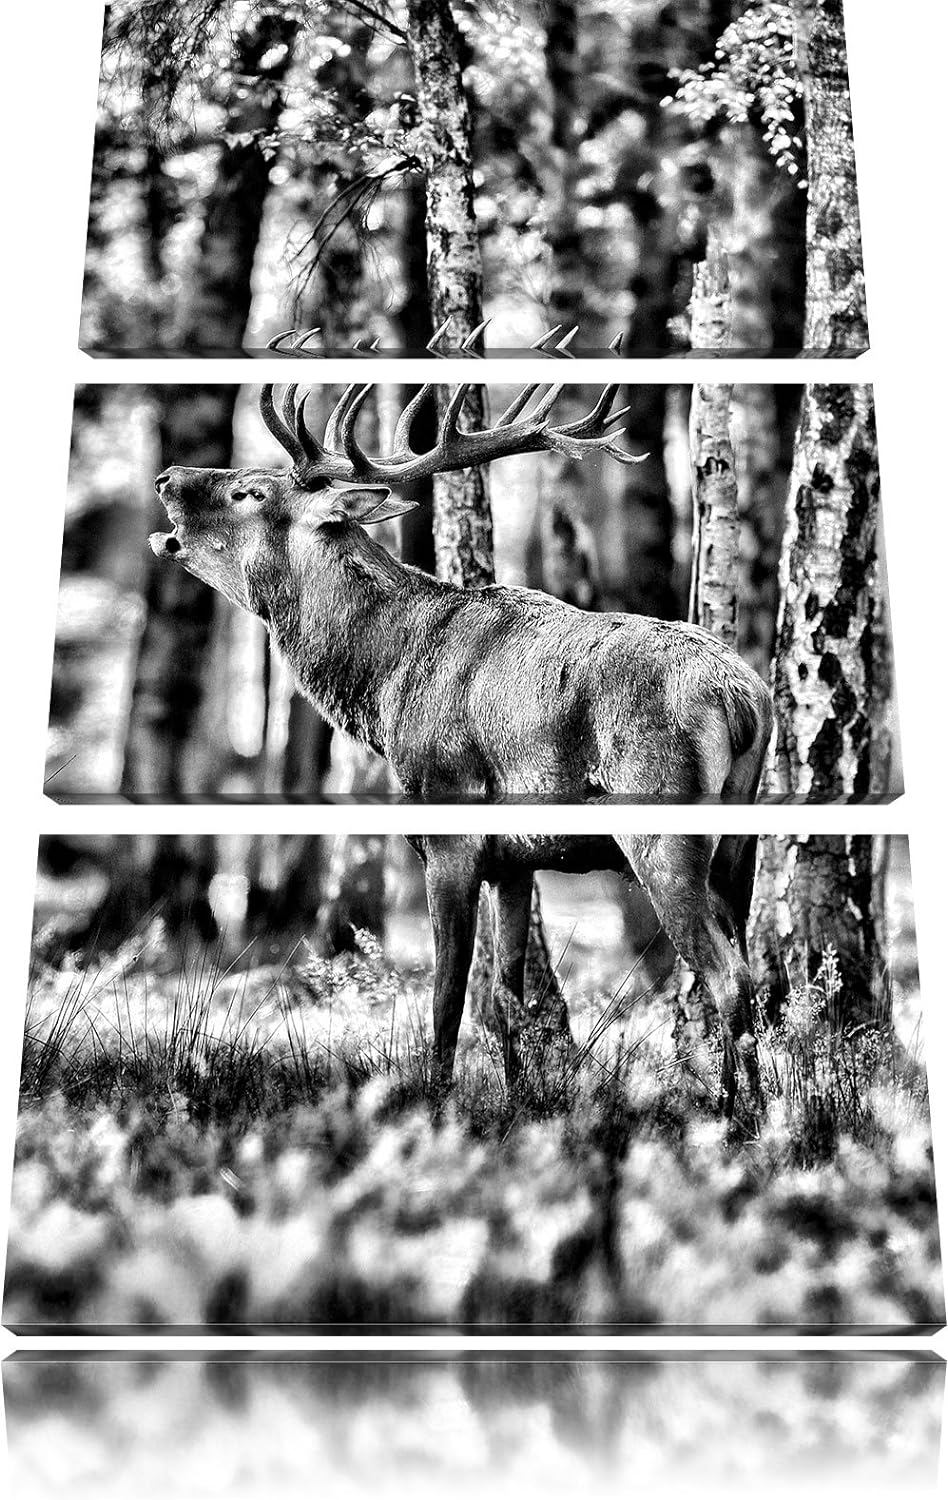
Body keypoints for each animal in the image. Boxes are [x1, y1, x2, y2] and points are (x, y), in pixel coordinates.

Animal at [151, 380, 774, 1114]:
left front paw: (436, 1103)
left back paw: (746, 1117)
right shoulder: (516, 861)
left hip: (662, 825)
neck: (384, 687)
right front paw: (518, 1101)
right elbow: (507, 996)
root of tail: (742, 699)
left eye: (248, 491)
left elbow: (448, 998)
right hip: (740, 843)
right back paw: (748, 1103)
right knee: (750, 963)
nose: (166, 477)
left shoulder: (450, 833)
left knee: (728, 974)